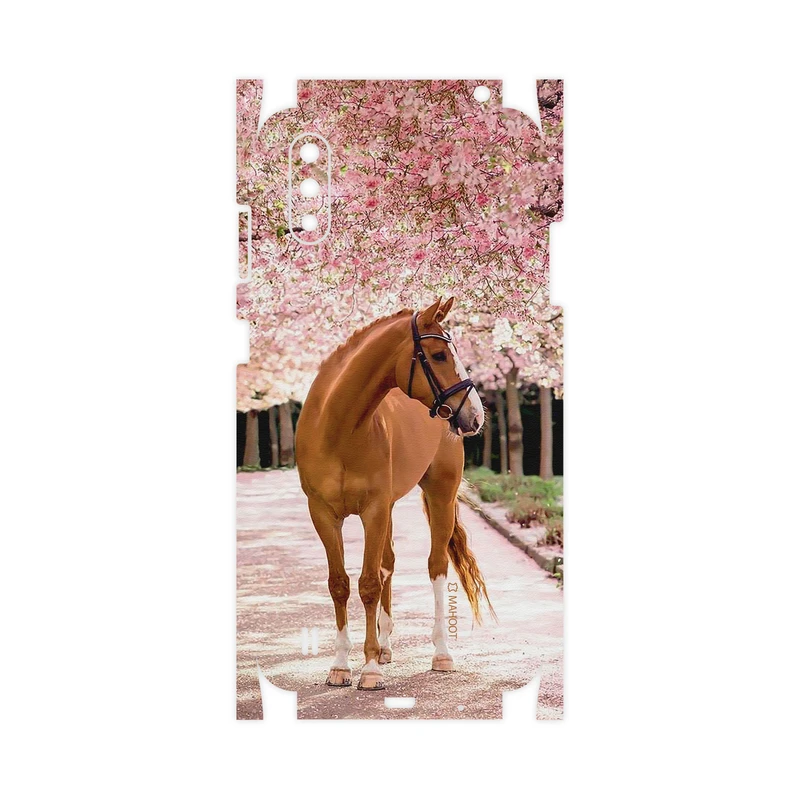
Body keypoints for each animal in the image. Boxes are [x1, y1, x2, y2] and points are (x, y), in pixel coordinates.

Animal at [295, 297, 494, 690]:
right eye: (438, 355)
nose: (476, 416)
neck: (338, 428)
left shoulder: (373, 510)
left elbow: (369, 583)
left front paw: (369, 669)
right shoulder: (324, 514)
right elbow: (340, 584)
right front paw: (341, 666)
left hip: (439, 494)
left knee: (435, 566)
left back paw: (441, 653)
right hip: (387, 508)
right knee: (388, 563)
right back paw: (385, 646)